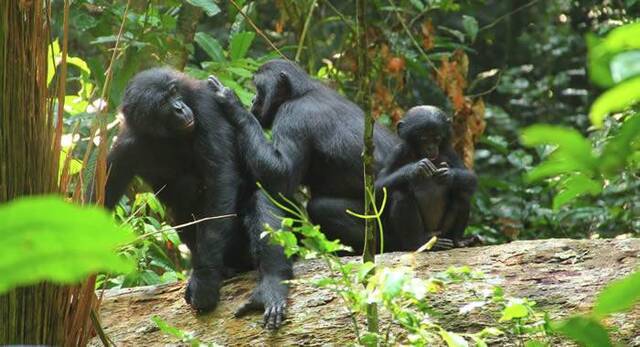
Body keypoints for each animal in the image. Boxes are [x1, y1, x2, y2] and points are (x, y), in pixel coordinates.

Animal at [86, 68, 292, 332]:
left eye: (174, 92)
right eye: (163, 102)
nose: (178, 107)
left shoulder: (206, 108)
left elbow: (220, 179)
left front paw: (204, 281)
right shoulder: (125, 146)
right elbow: (100, 197)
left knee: (262, 199)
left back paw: (271, 284)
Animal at [206, 60, 400, 253]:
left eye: (259, 88)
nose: (253, 99)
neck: (299, 94)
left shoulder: (292, 116)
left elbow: (281, 175)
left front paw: (232, 103)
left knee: (322, 208)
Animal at [376, 106, 476, 250]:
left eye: (437, 138)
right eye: (423, 138)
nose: (431, 148)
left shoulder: (449, 152)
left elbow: (471, 178)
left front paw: (448, 174)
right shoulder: (397, 152)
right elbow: (379, 185)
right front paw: (416, 169)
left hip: (443, 231)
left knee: (462, 193)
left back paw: (458, 240)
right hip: (425, 235)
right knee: (401, 195)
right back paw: (418, 243)